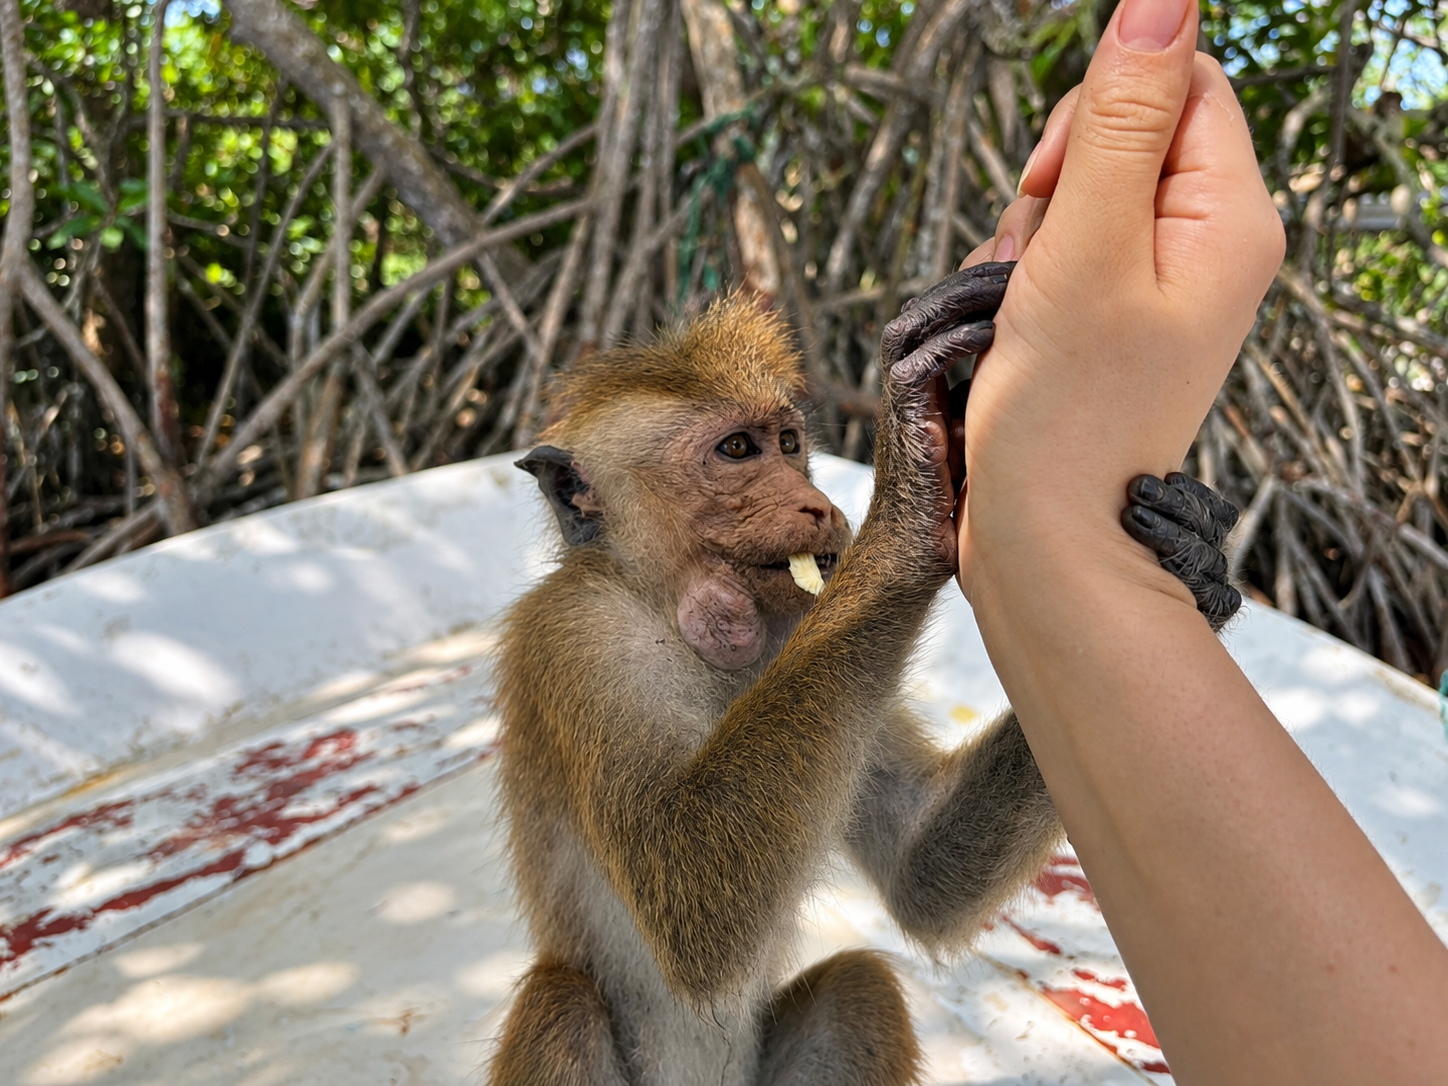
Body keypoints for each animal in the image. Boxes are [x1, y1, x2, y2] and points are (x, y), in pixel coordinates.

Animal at [489, 264, 1240, 1085]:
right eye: (737, 448)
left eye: (789, 444)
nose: (816, 504)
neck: (669, 606)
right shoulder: (582, 641)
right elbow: (688, 893)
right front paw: (911, 481)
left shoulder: (811, 636)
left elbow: (921, 875)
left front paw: (1191, 556)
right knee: (564, 1003)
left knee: (860, 987)